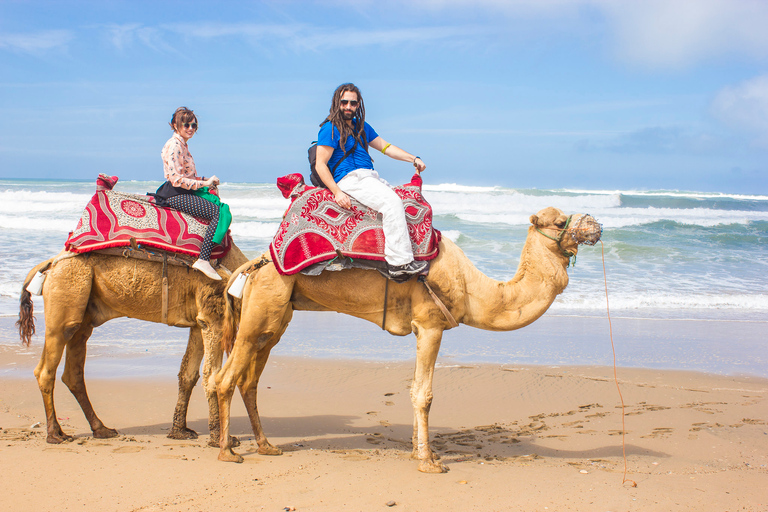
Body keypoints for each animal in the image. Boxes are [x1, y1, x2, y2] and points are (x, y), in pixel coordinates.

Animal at [18, 242, 248, 446]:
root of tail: (50, 263)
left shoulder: (198, 323)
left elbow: (188, 375)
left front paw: (179, 431)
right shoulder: (214, 314)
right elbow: (212, 375)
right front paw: (220, 438)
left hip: (83, 314)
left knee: (73, 371)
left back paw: (101, 429)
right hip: (66, 296)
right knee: (46, 369)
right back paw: (55, 434)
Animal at [213, 207, 604, 472]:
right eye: (559, 222)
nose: (596, 226)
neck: (472, 287)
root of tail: (253, 265)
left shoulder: (421, 329)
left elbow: (415, 388)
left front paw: (419, 451)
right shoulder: (431, 325)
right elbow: (425, 394)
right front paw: (429, 462)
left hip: (275, 319)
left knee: (249, 380)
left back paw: (266, 446)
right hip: (260, 313)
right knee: (225, 379)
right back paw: (227, 451)